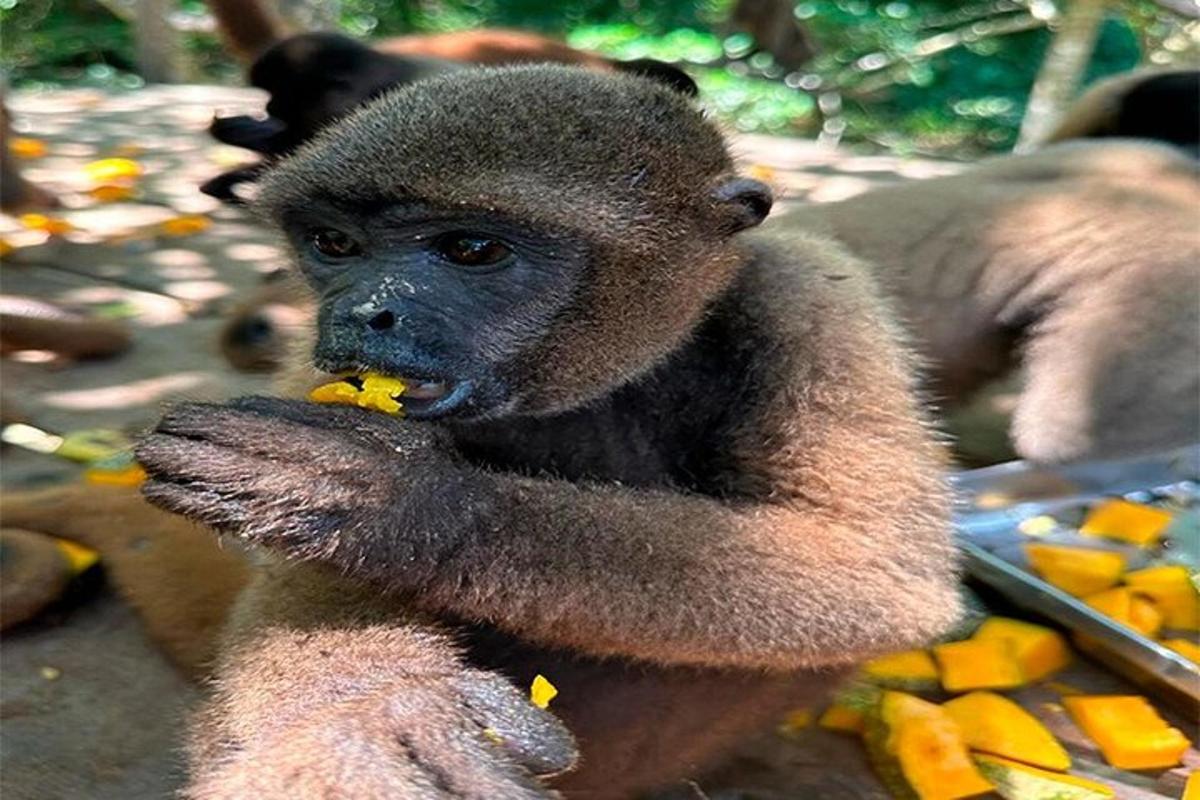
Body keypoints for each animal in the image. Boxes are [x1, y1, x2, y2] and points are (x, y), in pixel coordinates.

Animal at [133, 65, 961, 798]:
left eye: (472, 249)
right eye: (334, 244)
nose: (364, 311)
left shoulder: (809, 296)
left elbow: (881, 570)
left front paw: (392, 500)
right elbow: (296, 584)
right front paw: (367, 721)